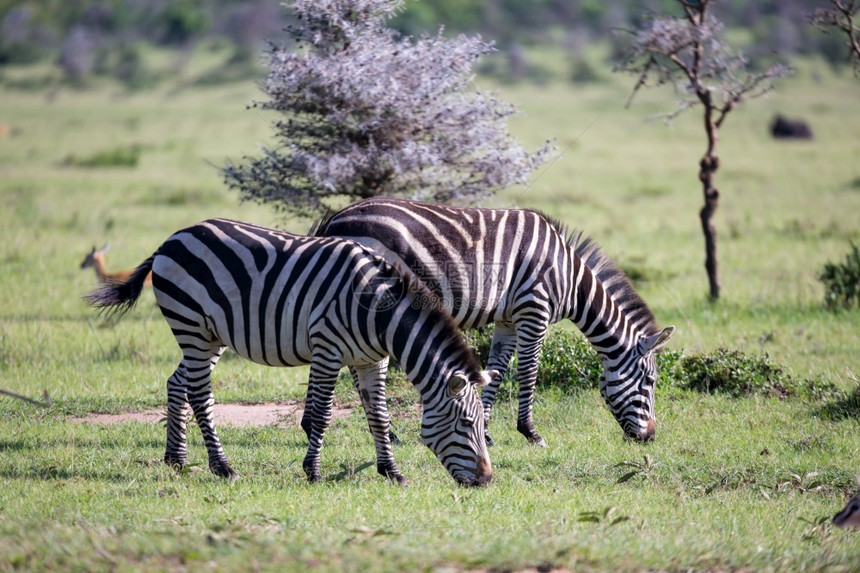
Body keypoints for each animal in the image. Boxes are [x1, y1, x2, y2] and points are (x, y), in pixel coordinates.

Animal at [85, 217, 498, 484]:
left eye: (483, 426)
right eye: (466, 424)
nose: (486, 480)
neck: (377, 311)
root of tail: (171, 239)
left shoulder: (372, 360)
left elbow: (379, 417)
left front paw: (392, 472)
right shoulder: (328, 349)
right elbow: (321, 416)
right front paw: (313, 471)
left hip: (210, 334)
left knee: (177, 383)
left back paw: (176, 458)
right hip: (191, 326)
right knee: (200, 394)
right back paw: (222, 467)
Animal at [312, 199, 676, 444]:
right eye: (649, 382)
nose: (649, 438)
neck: (570, 278)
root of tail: (336, 219)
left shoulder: (507, 321)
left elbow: (497, 372)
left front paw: (485, 432)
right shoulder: (534, 309)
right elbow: (528, 372)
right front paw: (531, 433)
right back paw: (390, 434)